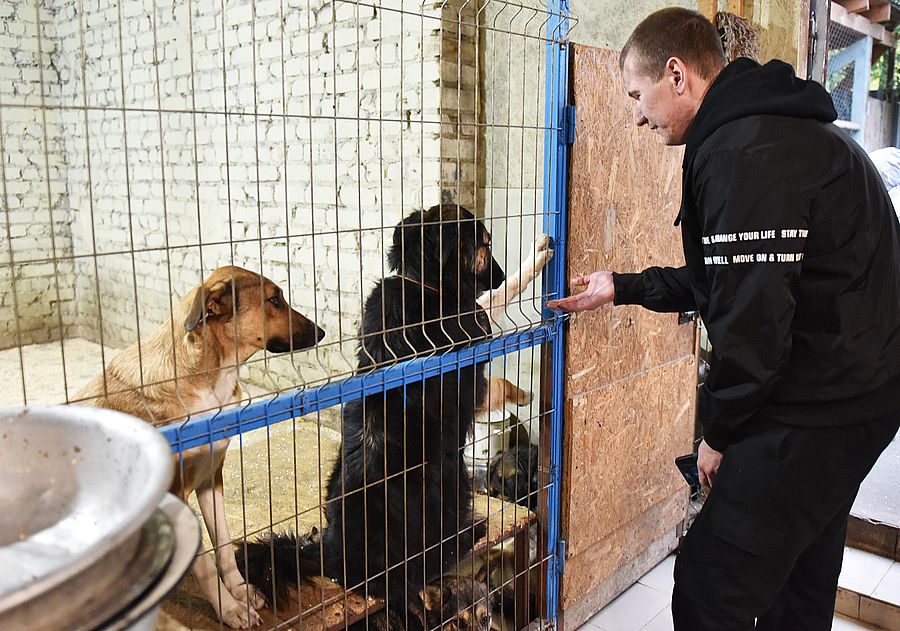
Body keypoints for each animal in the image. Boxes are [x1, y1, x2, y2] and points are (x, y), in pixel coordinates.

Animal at [75, 266, 324, 629]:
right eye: (274, 299)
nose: (321, 332)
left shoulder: (211, 477)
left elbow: (223, 544)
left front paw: (241, 590)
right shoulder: (174, 494)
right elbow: (205, 561)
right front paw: (230, 608)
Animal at [242, 205, 552, 629]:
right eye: (486, 245)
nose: (500, 273)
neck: (422, 282)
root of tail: (337, 555)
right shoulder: (473, 362)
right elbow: (499, 336)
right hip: (448, 477)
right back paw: (472, 531)